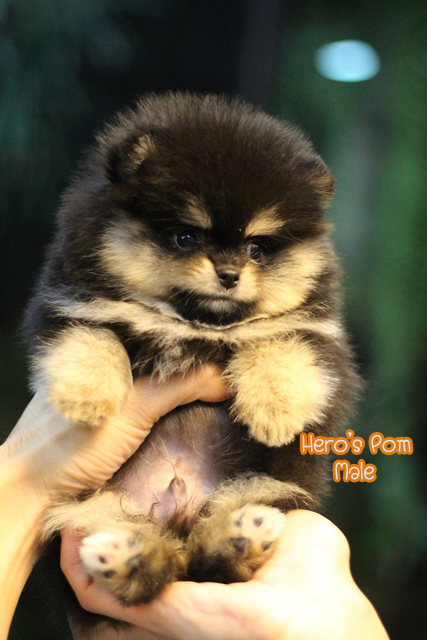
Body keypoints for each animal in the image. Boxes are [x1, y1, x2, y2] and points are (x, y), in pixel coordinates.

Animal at [24, 92, 360, 637]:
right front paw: (88, 398)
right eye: (185, 237)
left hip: (261, 487)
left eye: (257, 248)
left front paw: (274, 412)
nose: (228, 273)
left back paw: (237, 539)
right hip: (95, 512)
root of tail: (178, 524)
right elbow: (95, 337)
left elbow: (281, 344)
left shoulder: (321, 336)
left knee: (211, 562)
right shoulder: (69, 304)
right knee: (156, 568)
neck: (199, 325)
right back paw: (127, 557)